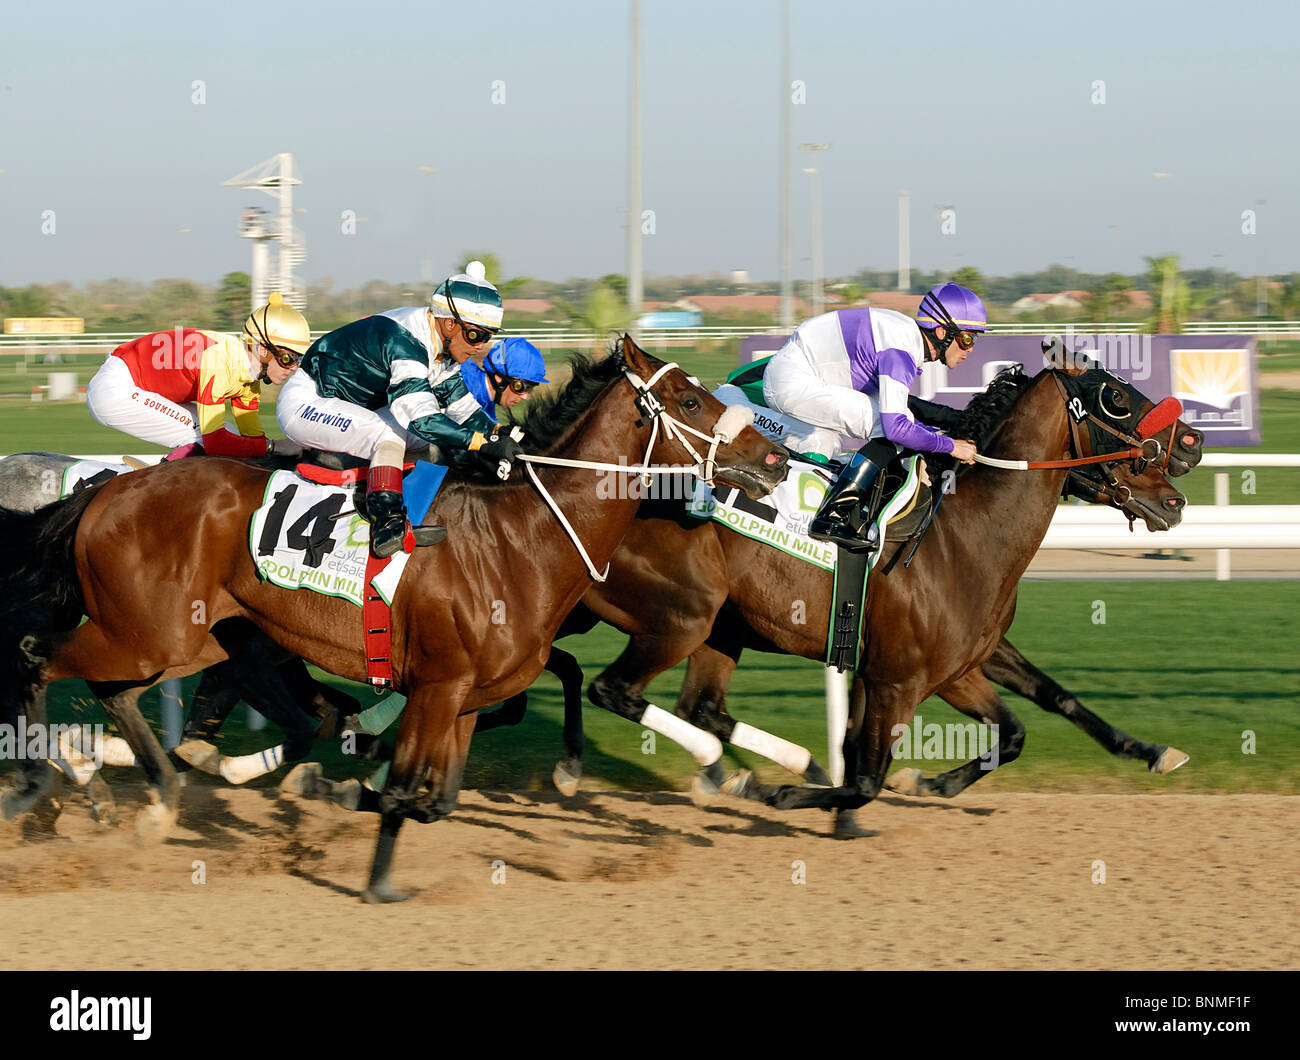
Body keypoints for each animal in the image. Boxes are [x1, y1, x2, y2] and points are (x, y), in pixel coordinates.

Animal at [0, 335, 780, 900]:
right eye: (689, 398)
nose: (773, 458)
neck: (521, 535)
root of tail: (102, 492)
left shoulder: (463, 696)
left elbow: (434, 798)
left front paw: (338, 784)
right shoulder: (437, 686)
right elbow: (407, 790)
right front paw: (373, 869)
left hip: (189, 638)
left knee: (111, 689)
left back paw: (146, 796)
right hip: (150, 634)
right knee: (37, 655)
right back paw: (44, 783)